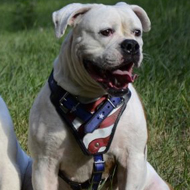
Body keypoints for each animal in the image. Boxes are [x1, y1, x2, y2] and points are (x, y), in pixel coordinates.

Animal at [27, 1, 173, 190]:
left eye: (137, 32)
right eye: (106, 32)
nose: (132, 45)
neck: (92, 99)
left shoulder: (132, 160)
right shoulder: (44, 165)